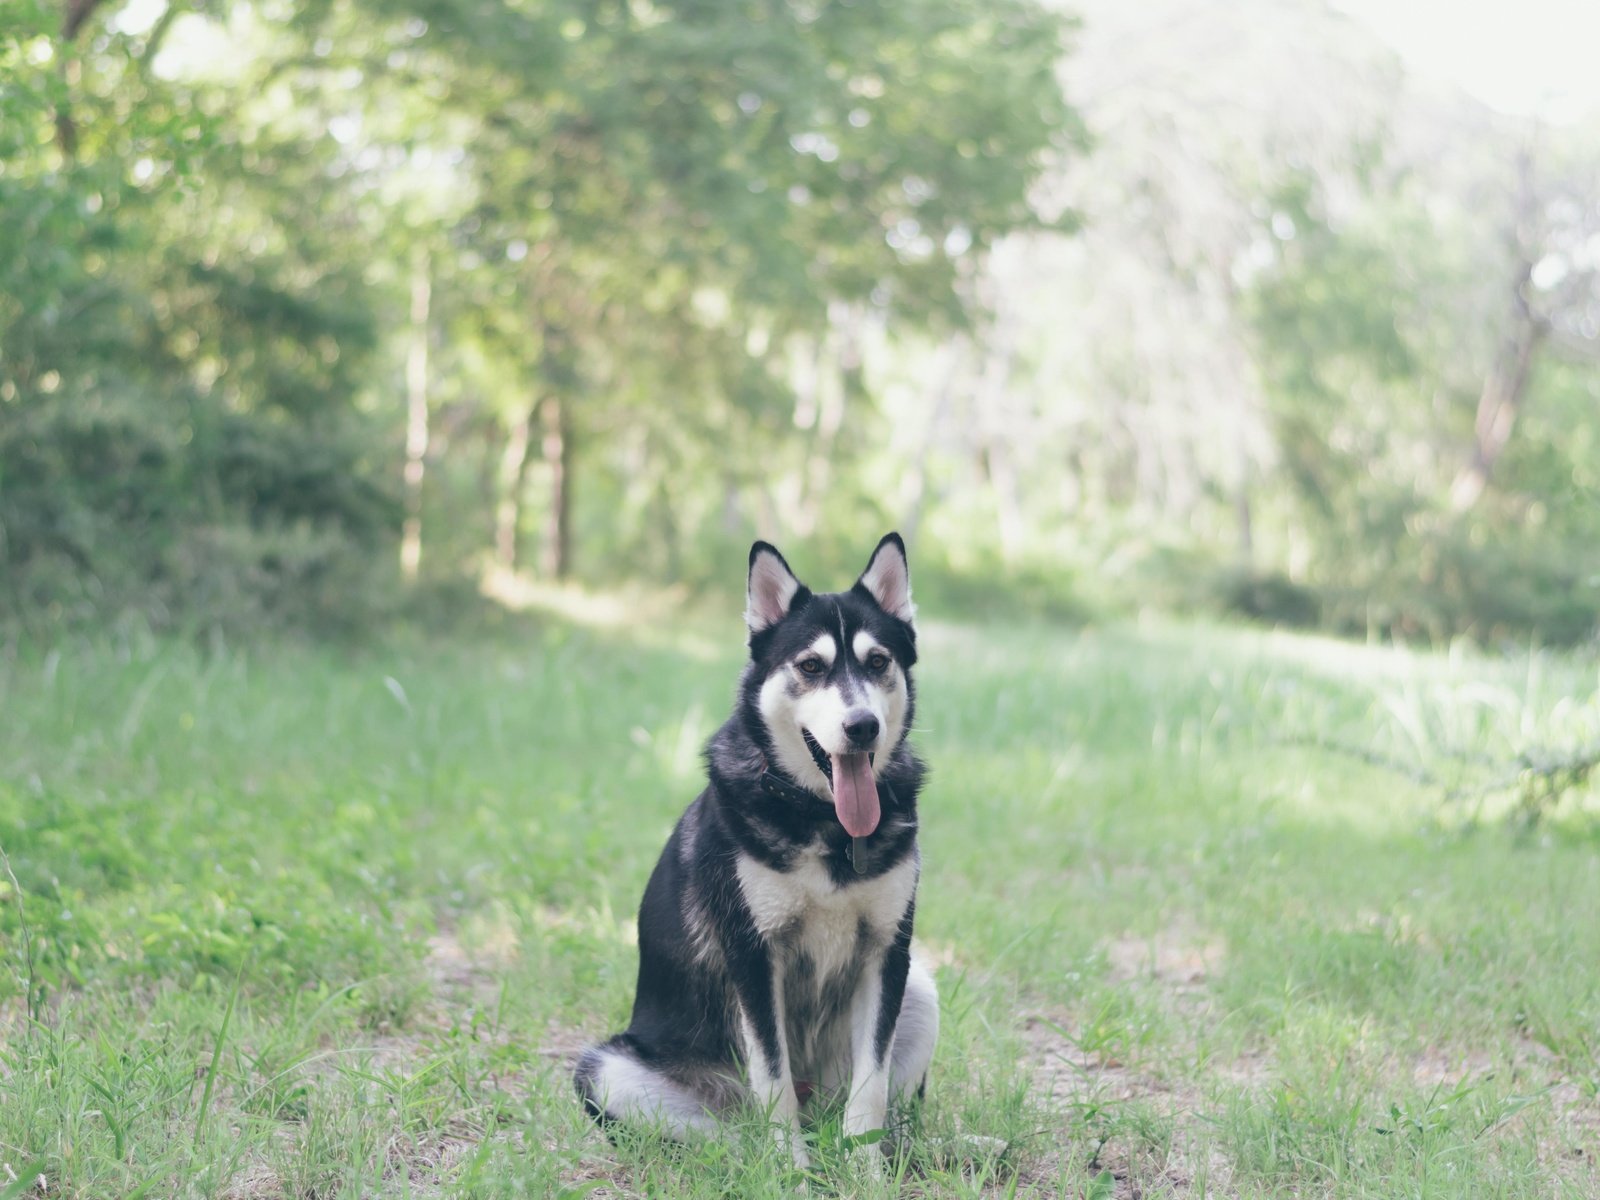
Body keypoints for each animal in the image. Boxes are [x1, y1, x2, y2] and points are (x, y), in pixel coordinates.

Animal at [576, 534, 934, 1164]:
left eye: (877, 662)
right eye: (811, 666)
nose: (862, 726)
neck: (824, 820)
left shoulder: (888, 952)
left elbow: (871, 1084)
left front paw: (865, 1168)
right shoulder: (751, 955)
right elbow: (773, 1077)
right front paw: (791, 1170)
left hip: (922, 992)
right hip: (607, 1071)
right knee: (737, 1129)